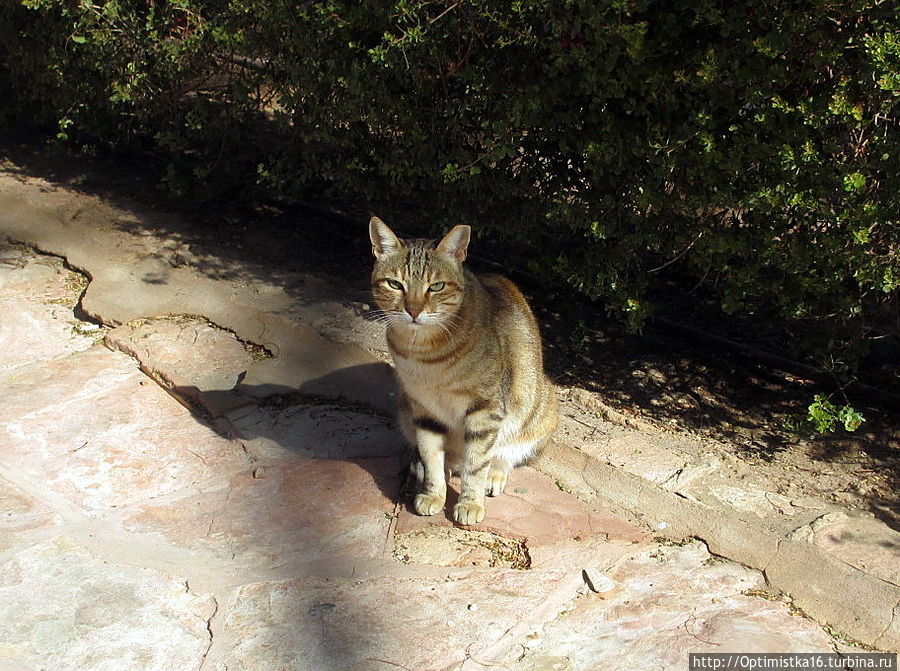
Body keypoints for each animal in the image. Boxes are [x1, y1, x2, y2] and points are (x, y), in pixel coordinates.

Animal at [368, 215, 556, 524]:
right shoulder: (423, 408)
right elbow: (431, 455)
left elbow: (476, 463)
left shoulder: (485, 409)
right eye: (395, 284)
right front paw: (433, 492)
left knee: (504, 454)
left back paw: (493, 475)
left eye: (436, 287)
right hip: (405, 408)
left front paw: (470, 502)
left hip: (537, 410)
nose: (413, 310)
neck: (424, 352)